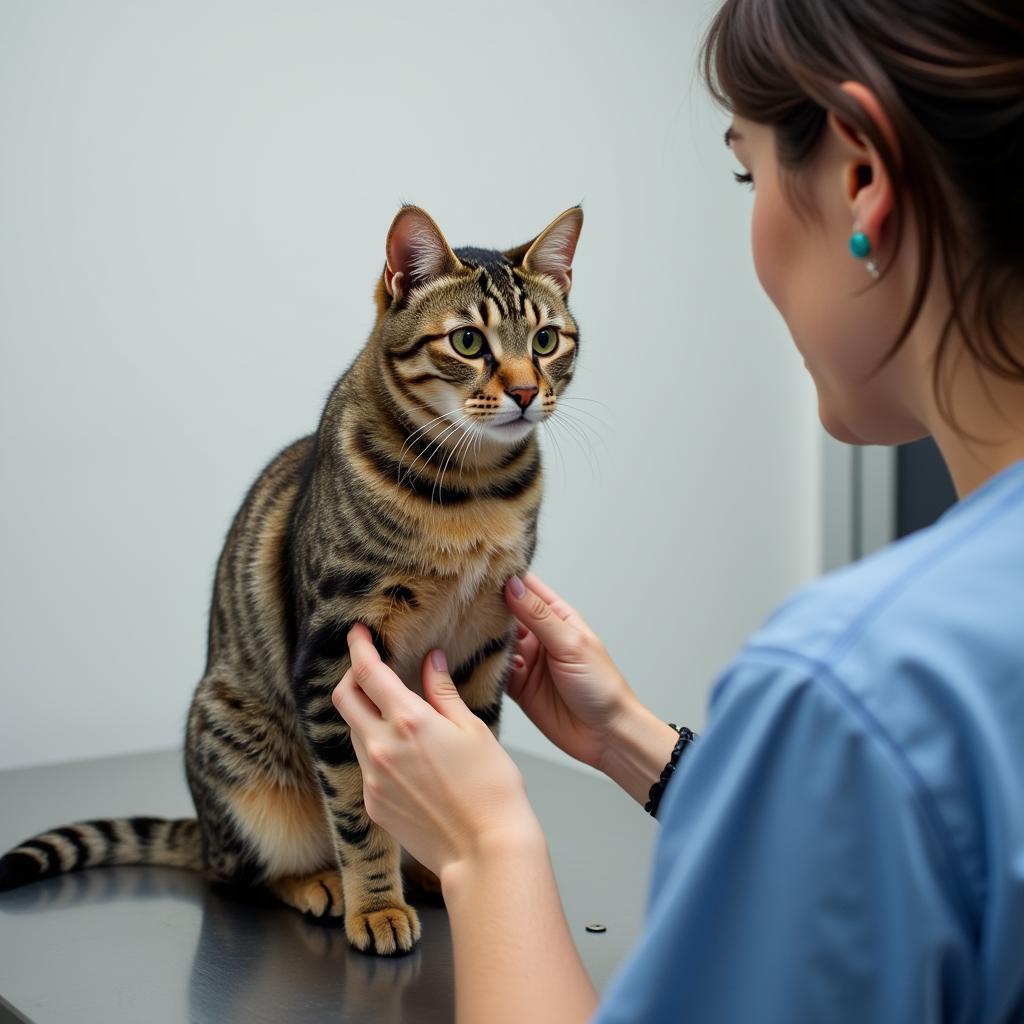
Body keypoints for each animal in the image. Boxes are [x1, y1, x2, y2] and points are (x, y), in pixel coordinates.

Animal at [0, 203, 585, 954]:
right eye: (467, 341)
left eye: (545, 339)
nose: (523, 391)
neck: (472, 491)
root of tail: (204, 832)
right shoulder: (335, 656)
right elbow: (357, 810)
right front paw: (377, 905)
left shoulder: (485, 644)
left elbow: (467, 767)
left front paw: (446, 862)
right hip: (239, 753)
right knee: (243, 873)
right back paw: (319, 885)